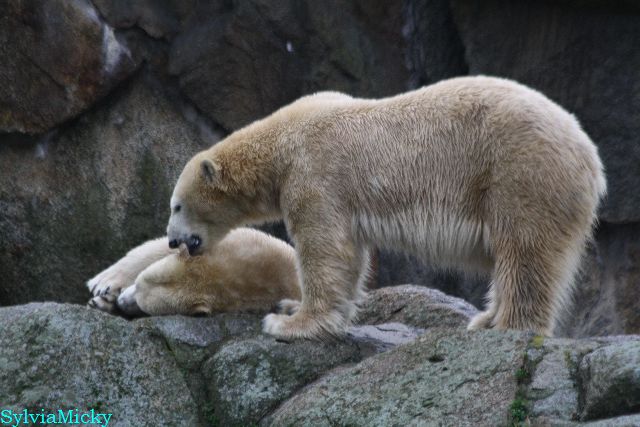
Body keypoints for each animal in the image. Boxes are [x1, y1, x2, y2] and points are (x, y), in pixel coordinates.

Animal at [166, 75, 606, 340]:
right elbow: (350, 255)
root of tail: (590, 155)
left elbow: (324, 248)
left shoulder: (315, 173)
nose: (172, 241)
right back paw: (486, 318)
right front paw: (291, 305)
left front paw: (288, 322)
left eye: (176, 206)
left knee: (524, 251)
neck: (281, 142)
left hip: (519, 172)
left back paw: (508, 326)